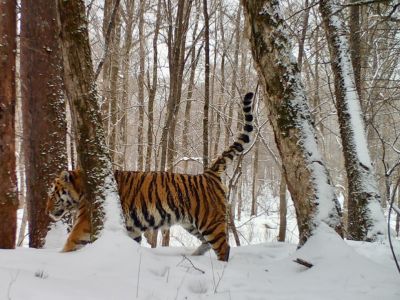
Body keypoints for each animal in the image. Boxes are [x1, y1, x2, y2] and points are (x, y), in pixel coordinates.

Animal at [46, 91, 253, 260]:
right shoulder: (133, 229)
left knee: (223, 247)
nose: (47, 211)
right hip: (191, 223)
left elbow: (69, 244)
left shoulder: (84, 225)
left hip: (209, 221)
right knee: (207, 244)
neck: (80, 189)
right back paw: (193, 256)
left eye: (53, 194)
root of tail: (208, 173)